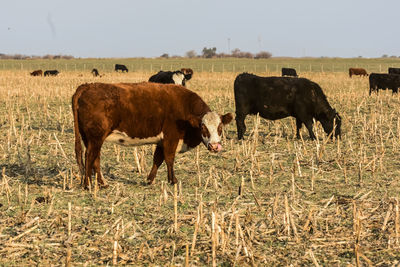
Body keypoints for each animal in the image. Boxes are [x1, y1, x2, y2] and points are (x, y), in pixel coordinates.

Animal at [72, 82, 234, 189]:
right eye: (203, 127)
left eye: (220, 127)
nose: (215, 146)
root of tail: (86, 86)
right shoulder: (171, 138)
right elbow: (169, 159)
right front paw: (173, 181)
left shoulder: (162, 141)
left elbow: (158, 159)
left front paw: (150, 180)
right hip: (95, 137)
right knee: (89, 157)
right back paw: (88, 184)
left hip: (91, 138)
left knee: (95, 158)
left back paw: (102, 183)